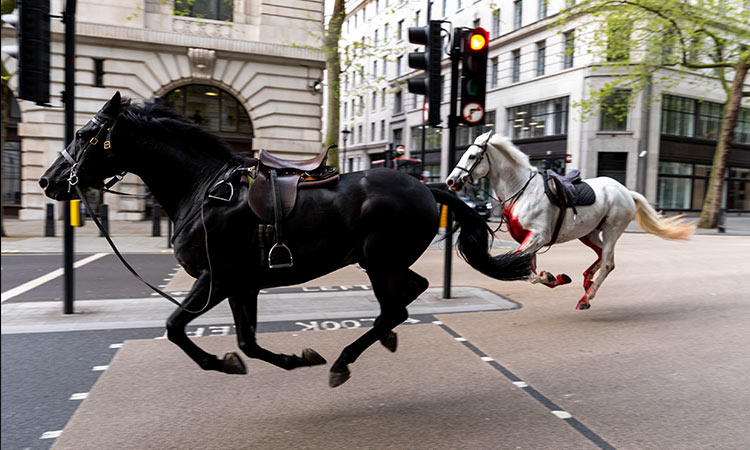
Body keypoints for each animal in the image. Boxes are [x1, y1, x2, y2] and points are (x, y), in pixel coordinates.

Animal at [41, 92, 532, 386]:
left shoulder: (216, 279)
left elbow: (176, 328)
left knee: (395, 306)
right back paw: (381, 339)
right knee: (410, 294)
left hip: (379, 261)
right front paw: (290, 359)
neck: (203, 190)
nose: (49, 181)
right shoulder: (242, 285)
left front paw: (219, 362)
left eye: (85, 134)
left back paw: (345, 360)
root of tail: (427, 187)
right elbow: (247, 342)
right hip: (382, 261)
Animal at [446, 131, 692, 310]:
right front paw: (554, 277)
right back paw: (587, 281)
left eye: (471, 156)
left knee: (608, 263)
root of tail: (626, 191)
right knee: (602, 256)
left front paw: (551, 277)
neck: (521, 190)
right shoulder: (529, 239)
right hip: (589, 233)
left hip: (612, 230)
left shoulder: (538, 236)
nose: (451, 181)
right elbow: (528, 271)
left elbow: (522, 269)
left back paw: (586, 298)